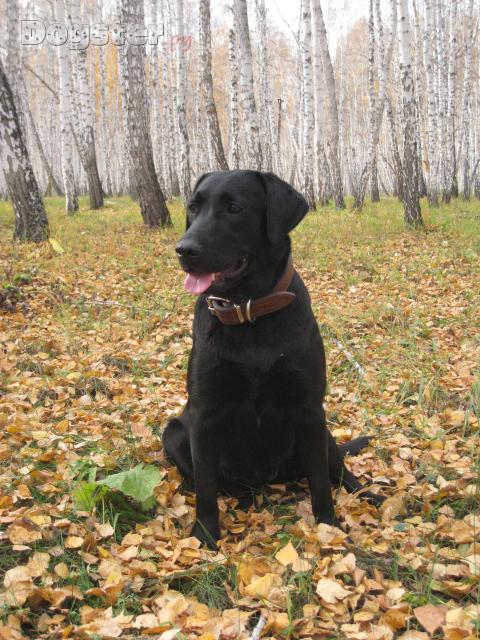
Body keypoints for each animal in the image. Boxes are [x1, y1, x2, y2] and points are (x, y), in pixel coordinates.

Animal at [163, 170, 384, 548]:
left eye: (234, 208)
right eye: (193, 207)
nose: (184, 249)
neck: (249, 311)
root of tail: (267, 479)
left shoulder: (309, 409)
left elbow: (321, 483)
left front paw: (328, 527)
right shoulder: (203, 414)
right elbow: (206, 488)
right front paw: (204, 535)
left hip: (323, 432)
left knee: (339, 472)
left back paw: (368, 495)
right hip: (174, 432)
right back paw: (242, 499)